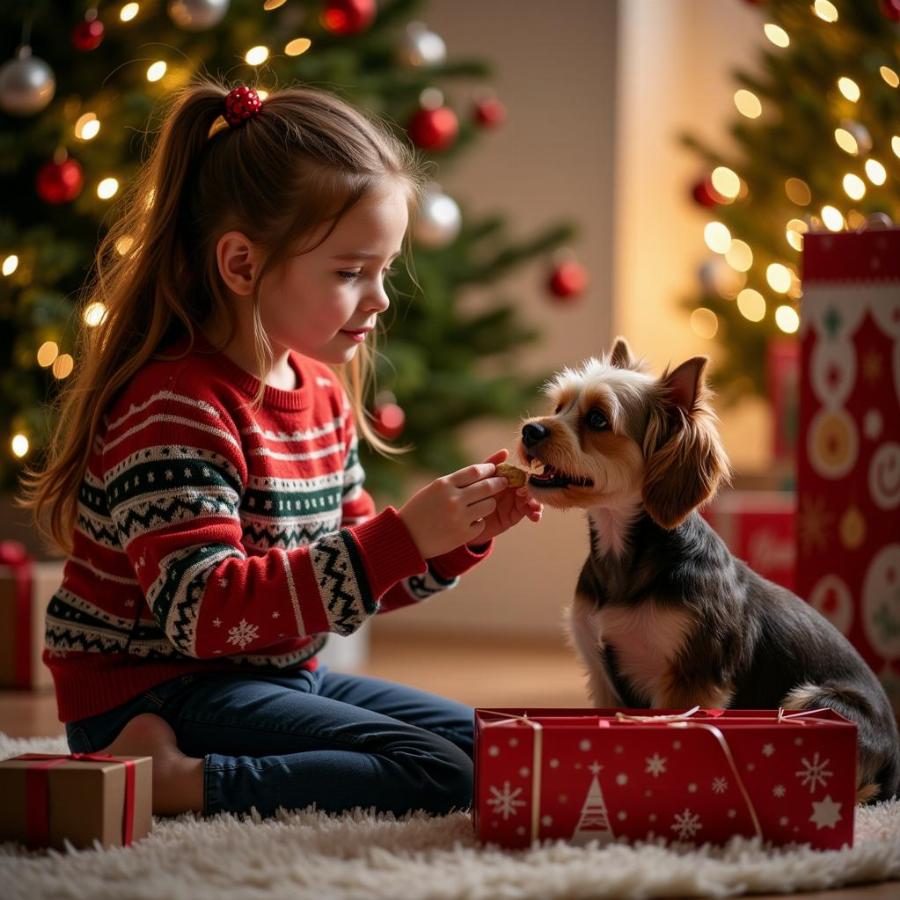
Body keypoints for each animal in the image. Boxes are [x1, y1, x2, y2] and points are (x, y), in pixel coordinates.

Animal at [516, 338, 900, 800]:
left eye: (597, 419)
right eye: (558, 407)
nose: (530, 430)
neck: (624, 553)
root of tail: (895, 765)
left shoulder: (692, 677)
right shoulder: (603, 675)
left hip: (816, 700)